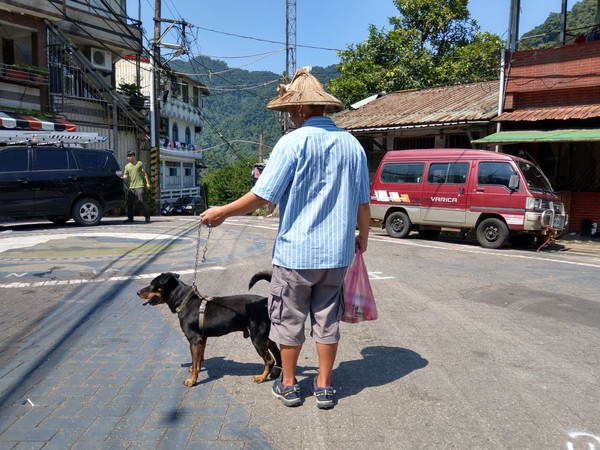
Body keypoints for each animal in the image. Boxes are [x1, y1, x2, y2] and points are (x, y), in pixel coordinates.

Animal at [138, 270, 278, 386]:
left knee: (270, 360)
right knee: (277, 354)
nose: (138, 292)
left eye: (152, 284)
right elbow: (199, 359)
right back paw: (276, 373)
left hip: (258, 339)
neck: (185, 301)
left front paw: (192, 381)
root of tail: (266, 301)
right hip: (266, 337)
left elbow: (195, 360)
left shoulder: (194, 340)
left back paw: (261, 378)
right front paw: (196, 370)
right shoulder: (202, 339)